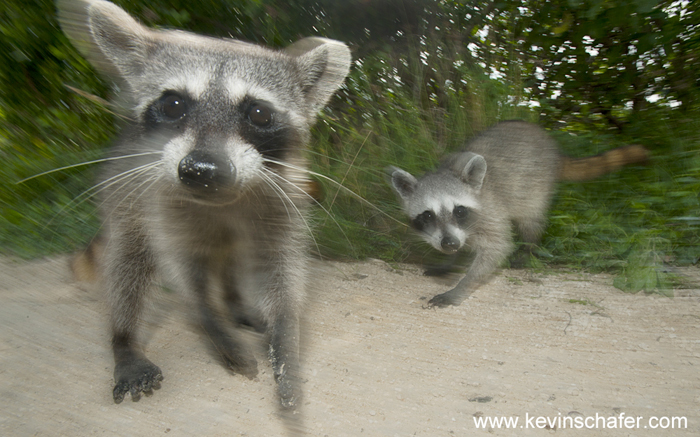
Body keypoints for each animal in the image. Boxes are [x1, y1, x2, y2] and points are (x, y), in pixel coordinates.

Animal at [57, 0, 351, 414]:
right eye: (173, 104)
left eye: (259, 113)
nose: (202, 170)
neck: (221, 201)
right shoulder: (160, 200)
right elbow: (181, 270)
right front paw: (210, 321)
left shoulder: (282, 200)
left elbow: (281, 271)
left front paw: (285, 340)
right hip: (123, 198)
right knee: (128, 267)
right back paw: (125, 339)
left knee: (231, 257)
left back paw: (234, 302)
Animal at [388, 121, 648, 308]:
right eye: (427, 215)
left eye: (459, 210)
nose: (449, 244)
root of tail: (551, 145)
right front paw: (451, 261)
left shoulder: (490, 212)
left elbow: (497, 248)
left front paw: (461, 287)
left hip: (537, 185)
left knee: (530, 220)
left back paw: (528, 247)